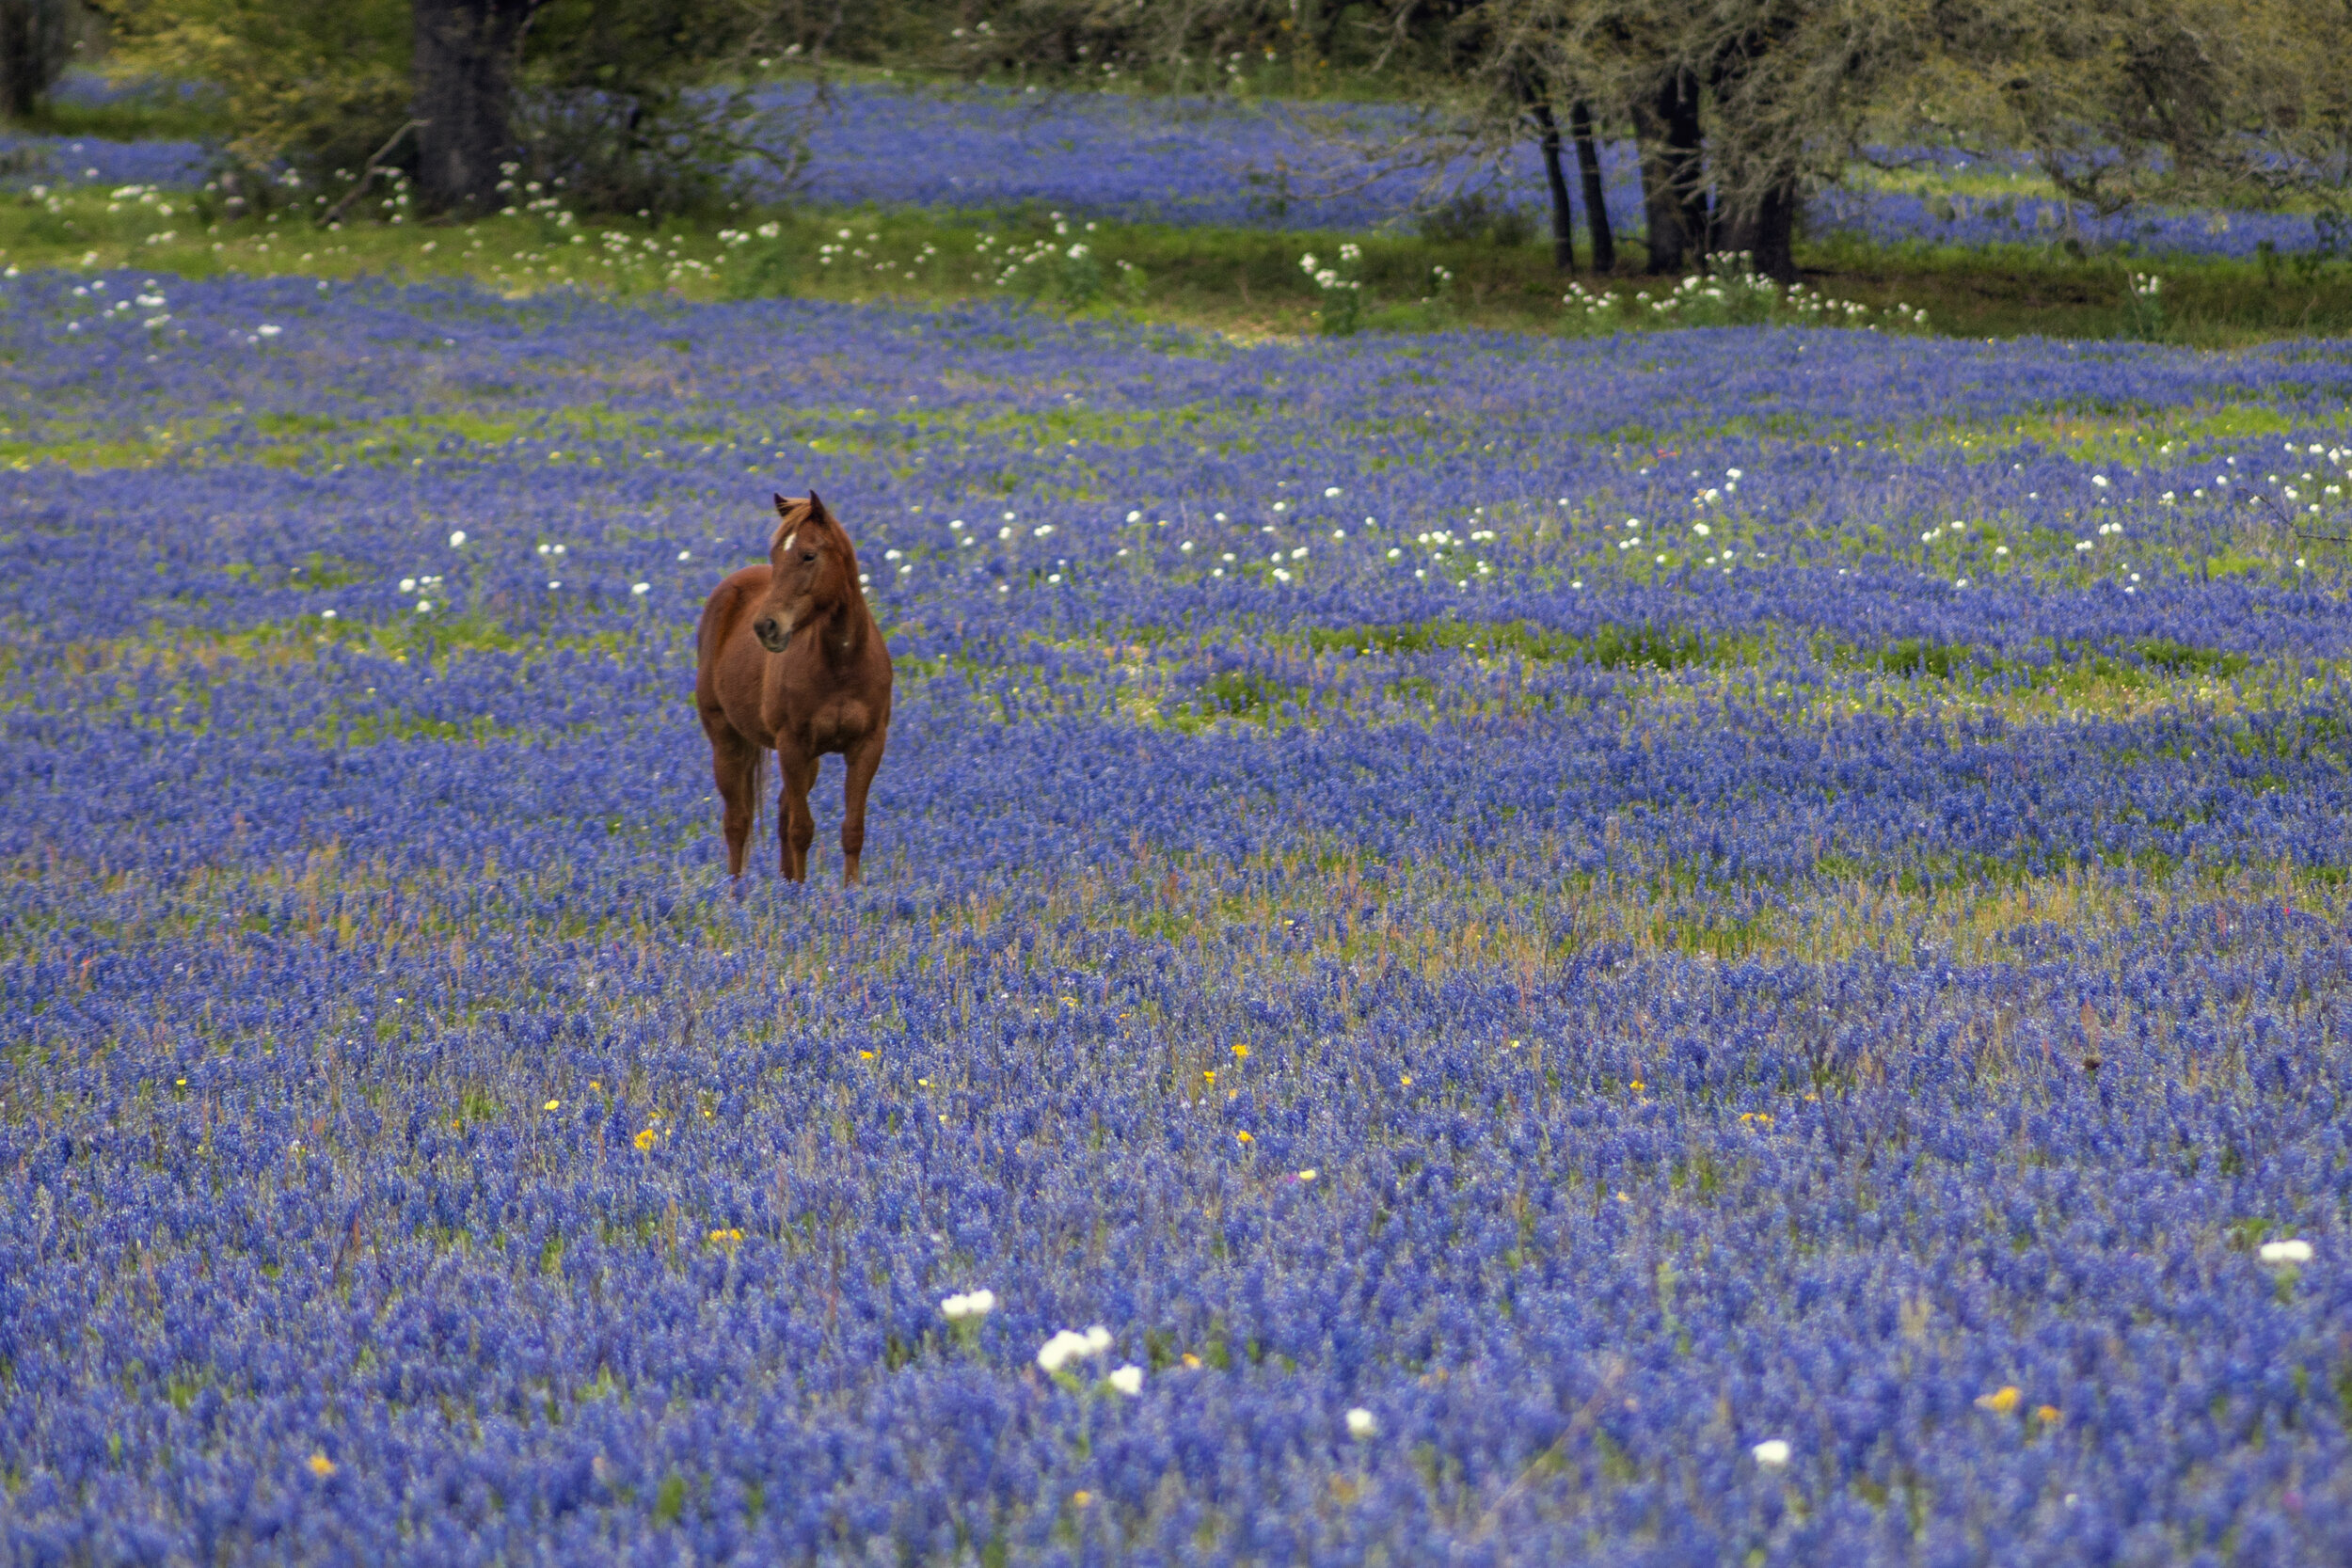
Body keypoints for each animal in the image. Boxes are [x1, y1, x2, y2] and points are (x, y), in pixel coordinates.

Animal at [691, 493, 894, 883]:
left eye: (808, 555)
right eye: (775, 556)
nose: (766, 627)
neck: (841, 664)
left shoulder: (867, 745)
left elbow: (852, 829)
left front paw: (853, 891)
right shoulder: (792, 745)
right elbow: (802, 829)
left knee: (782, 811)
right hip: (726, 739)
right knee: (737, 821)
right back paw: (736, 891)